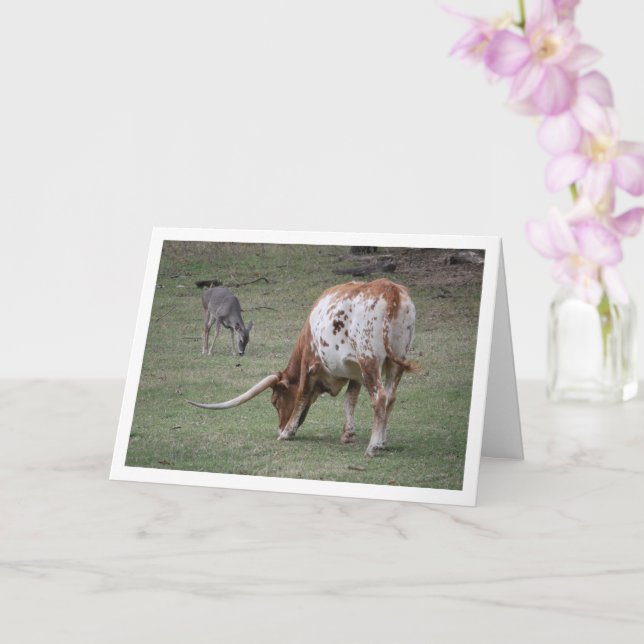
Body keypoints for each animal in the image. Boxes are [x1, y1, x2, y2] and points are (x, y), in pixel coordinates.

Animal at [187, 278, 417, 456]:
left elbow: (302, 396)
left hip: (369, 360)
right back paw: (383, 442)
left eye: (275, 401)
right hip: (396, 362)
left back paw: (373, 446)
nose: (279, 428)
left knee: (379, 397)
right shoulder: (355, 373)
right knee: (390, 397)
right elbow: (349, 400)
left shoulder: (310, 364)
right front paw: (348, 434)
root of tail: (390, 288)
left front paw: (287, 432)